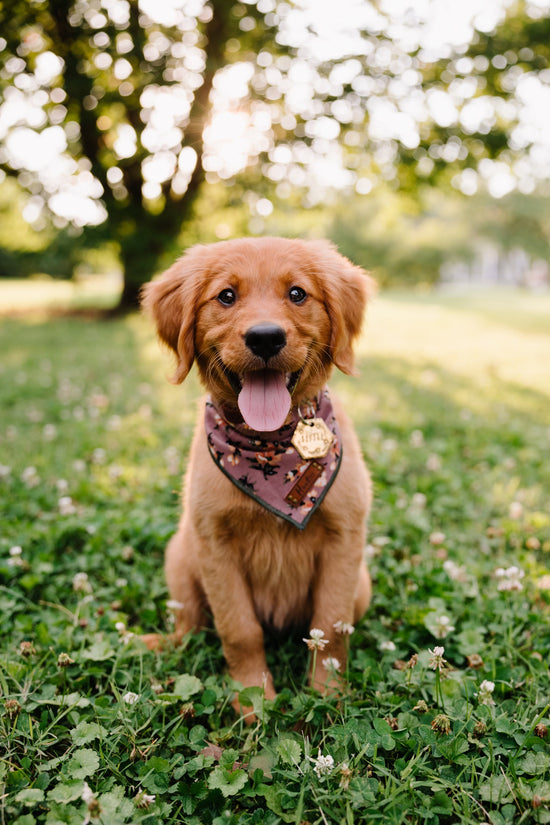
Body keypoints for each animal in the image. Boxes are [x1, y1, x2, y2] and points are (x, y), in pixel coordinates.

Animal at [140, 237, 378, 708]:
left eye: (298, 294)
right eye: (226, 296)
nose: (265, 337)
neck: (270, 450)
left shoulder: (344, 541)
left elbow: (330, 628)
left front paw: (328, 696)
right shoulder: (214, 547)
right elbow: (239, 630)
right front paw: (253, 700)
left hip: (362, 583)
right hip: (180, 557)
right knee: (189, 627)